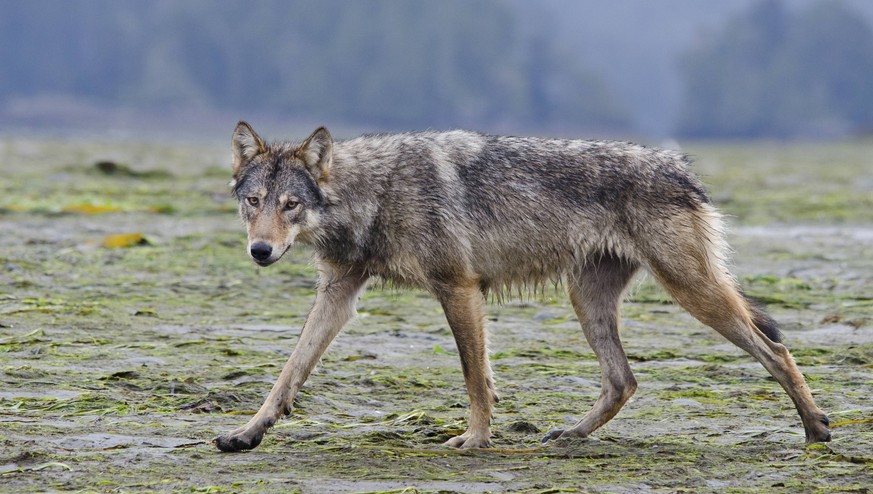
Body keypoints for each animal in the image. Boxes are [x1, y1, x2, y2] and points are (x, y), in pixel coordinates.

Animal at [212, 121, 831, 452]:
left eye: (290, 205)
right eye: (254, 202)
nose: (260, 251)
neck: (375, 192)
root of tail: (683, 167)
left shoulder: (459, 289)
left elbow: (474, 378)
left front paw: (475, 441)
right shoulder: (338, 295)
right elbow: (289, 372)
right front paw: (246, 434)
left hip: (691, 292)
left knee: (774, 348)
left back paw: (817, 428)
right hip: (588, 301)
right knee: (623, 381)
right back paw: (569, 434)